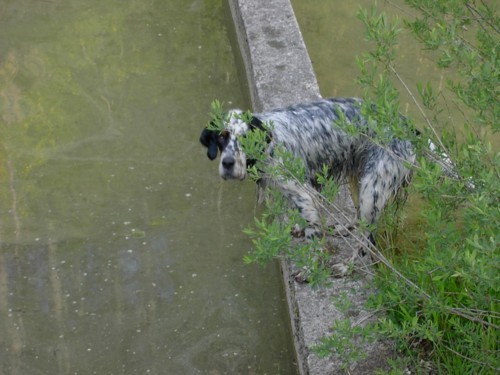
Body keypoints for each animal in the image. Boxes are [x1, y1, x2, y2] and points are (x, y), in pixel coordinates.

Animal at [197, 97, 416, 244]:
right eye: (222, 136)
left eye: (246, 137)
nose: (227, 163)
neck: (271, 147)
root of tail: (408, 127)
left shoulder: (305, 196)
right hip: (360, 178)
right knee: (358, 217)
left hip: (372, 191)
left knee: (366, 241)